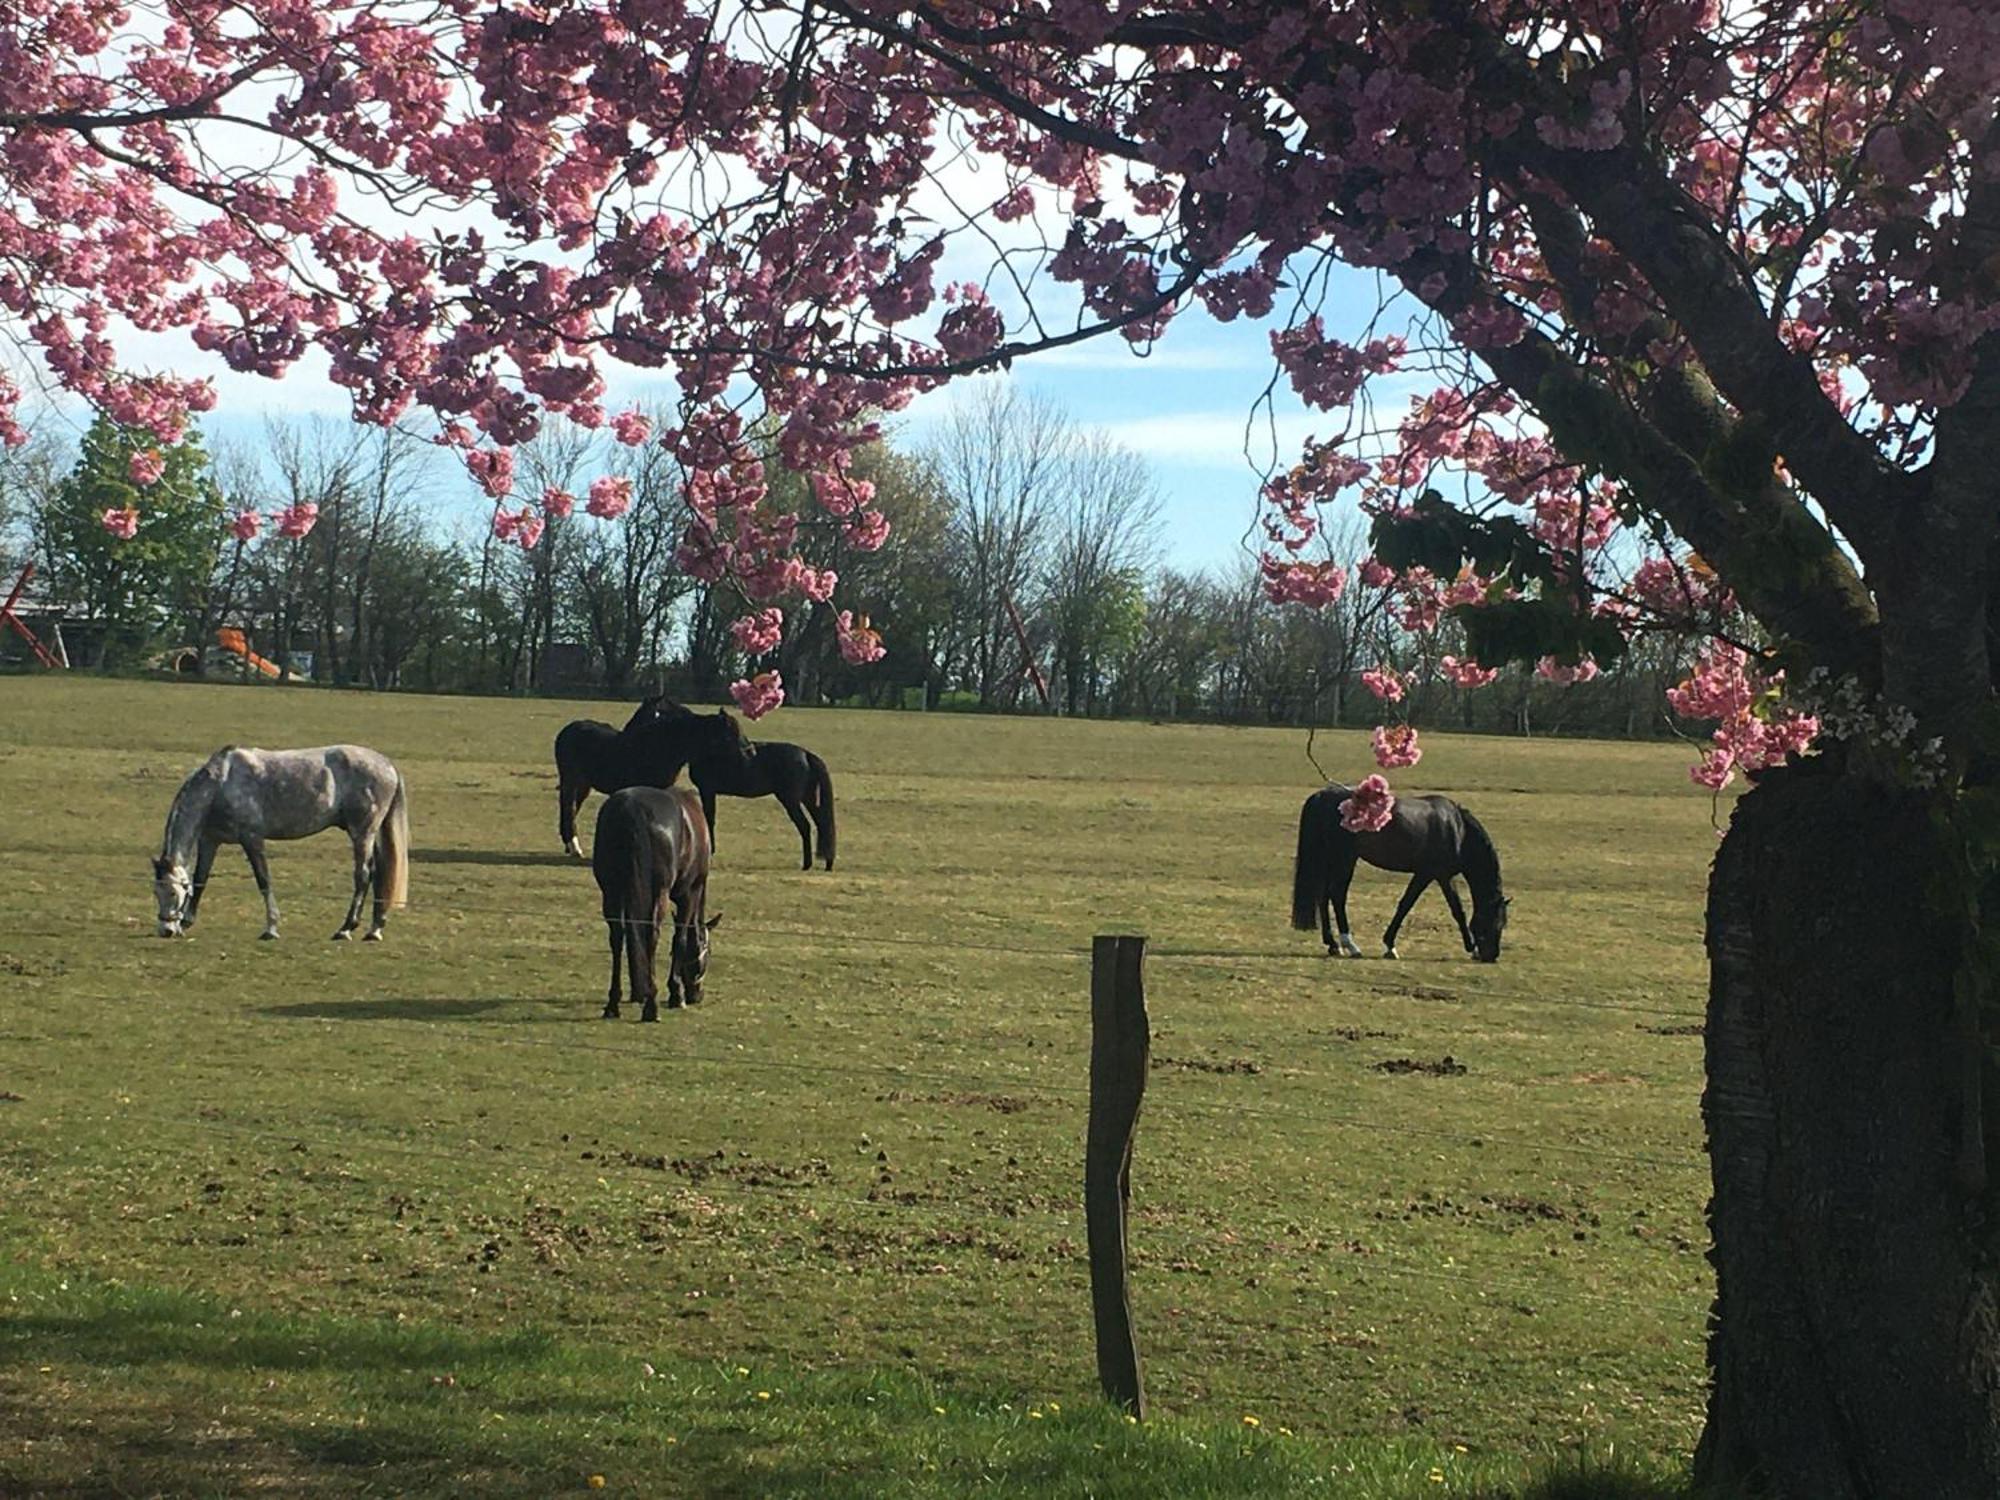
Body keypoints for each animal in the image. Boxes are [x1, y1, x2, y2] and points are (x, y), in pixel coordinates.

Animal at [153, 748, 414, 944]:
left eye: (173, 892)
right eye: (156, 892)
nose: (166, 930)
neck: (221, 784)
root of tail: (388, 765)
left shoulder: (252, 839)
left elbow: (263, 881)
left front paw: (271, 927)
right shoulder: (210, 840)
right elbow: (201, 880)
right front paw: (187, 921)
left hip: (362, 834)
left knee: (363, 876)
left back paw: (346, 928)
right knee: (380, 873)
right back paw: (375, 928)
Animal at [556, 704, 752, 856]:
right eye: (731, 734)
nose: (750, 752)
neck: (662, 747)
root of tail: (566, 731)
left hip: (583, 784)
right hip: (571, 781)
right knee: (569, 808)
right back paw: (574, 847)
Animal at [592, 788, 720, 1024]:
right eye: (708, 952)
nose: (697, 995)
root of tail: (631, 809)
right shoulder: (689, 894)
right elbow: (680, 939)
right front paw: (676, 993)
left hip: (612, 891)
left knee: (618, 936)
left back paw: (614, 1003)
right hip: (659, 893)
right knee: (651, 935)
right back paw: (651, 1006)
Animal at [1288, 788, 1504, 964]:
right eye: (1497, 922)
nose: (1492, 956)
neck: (1458, 829)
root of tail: (1323, 796)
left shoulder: (1426, 874)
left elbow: (1405, 905)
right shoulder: (1436, 875)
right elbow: (1451, 909)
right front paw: (1471, 948)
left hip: (1332, 859)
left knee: (1324, 897)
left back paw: (1333, 945)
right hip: (1344, 859)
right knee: (1337, 895)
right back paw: (1351, 945)